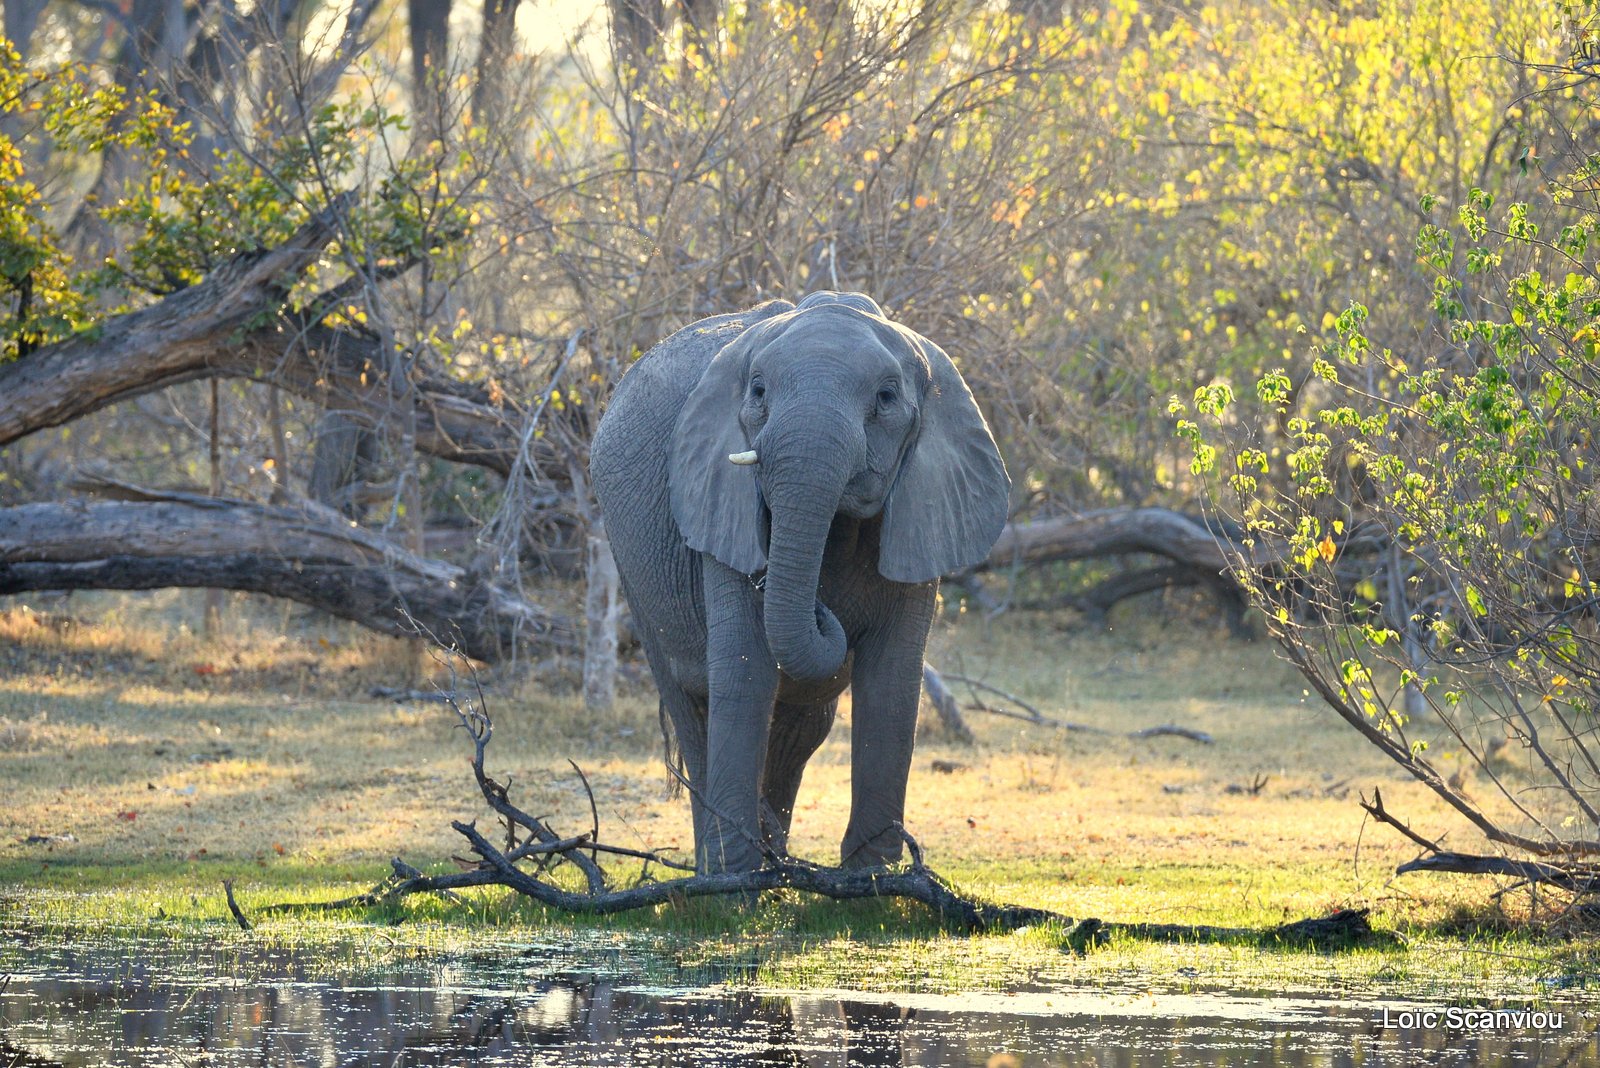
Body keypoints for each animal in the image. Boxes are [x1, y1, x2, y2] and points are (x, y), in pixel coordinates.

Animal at [588, 292, 1011, 876]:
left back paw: (778, 857)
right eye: (759, 392)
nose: (819, 605)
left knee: (801, 726)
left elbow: (893, 682)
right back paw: (727, 865)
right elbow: (743, 670)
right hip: (631, 567)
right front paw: (737, 882)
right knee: (692, 706)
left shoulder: (926, 508)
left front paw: (873, 878)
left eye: (886, 398)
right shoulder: (719, 494)